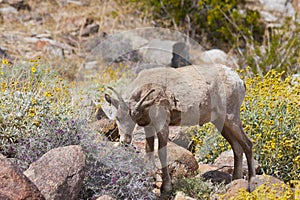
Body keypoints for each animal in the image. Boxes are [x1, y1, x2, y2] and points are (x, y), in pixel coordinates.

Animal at [105, 64, 255, 194]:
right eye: (117, 118)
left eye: (134, 119)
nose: (125, 140)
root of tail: (239, 81)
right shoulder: (149, 128)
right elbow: (149, 152)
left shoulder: (162, 125)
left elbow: (162, 154)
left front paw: (166, 187)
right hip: (221, 123)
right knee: (237, 147)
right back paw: (235, 180)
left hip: (231, 117)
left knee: (247, 144)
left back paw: (251, 184)